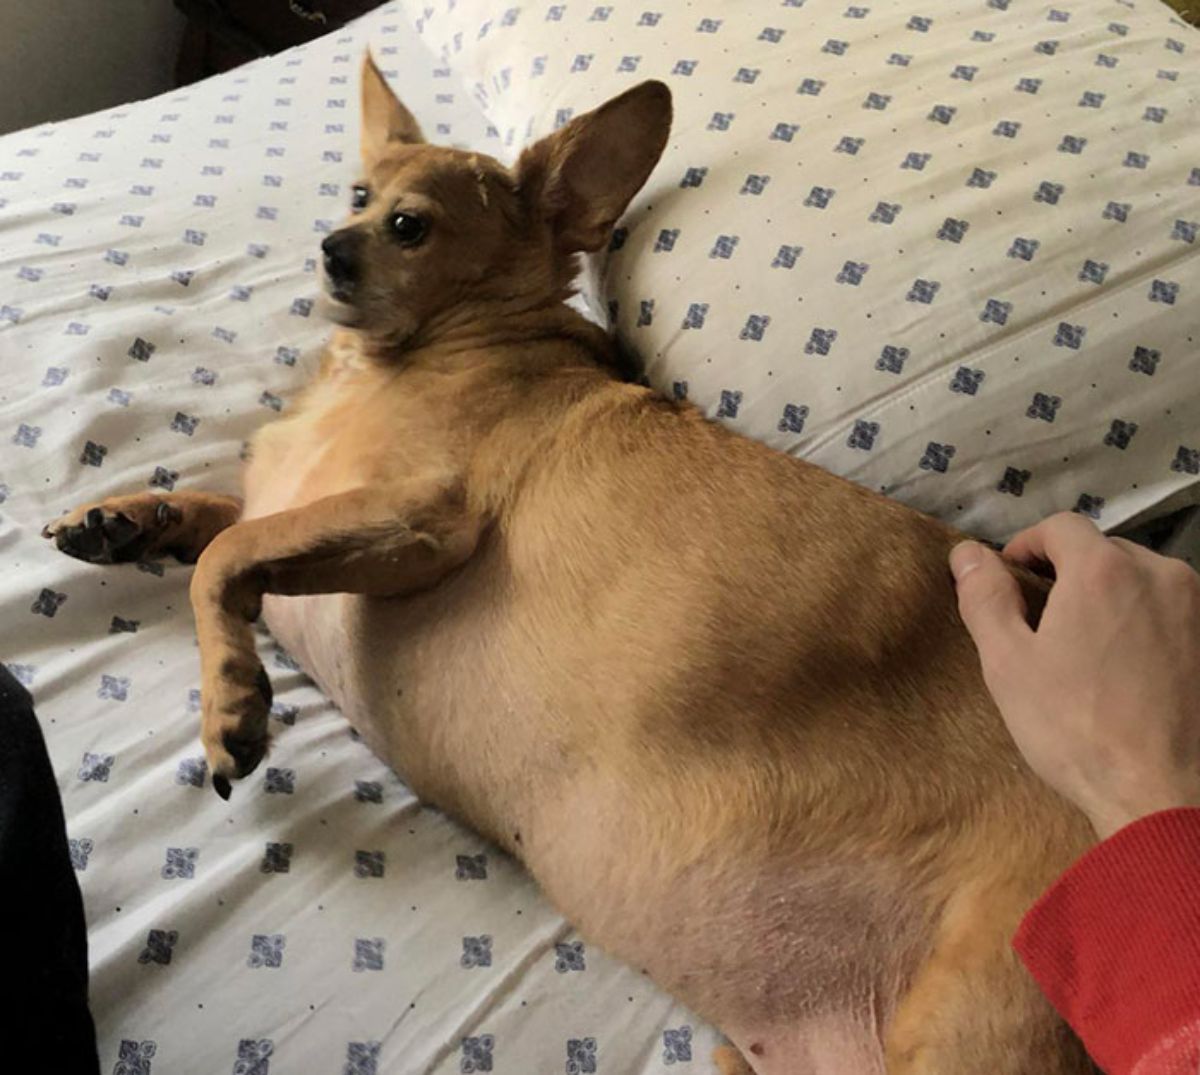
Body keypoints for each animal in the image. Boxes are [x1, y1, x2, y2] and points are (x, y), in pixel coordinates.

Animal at [44, 60, 1099, 1075]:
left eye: (409, 226)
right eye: (357, 194)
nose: (332, 246)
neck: (382, 363)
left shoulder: (419, 524)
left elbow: (225, 558)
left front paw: (231, 698)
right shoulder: (296, 505)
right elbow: (219, 512)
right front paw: (127, 516)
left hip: (978, 1017)